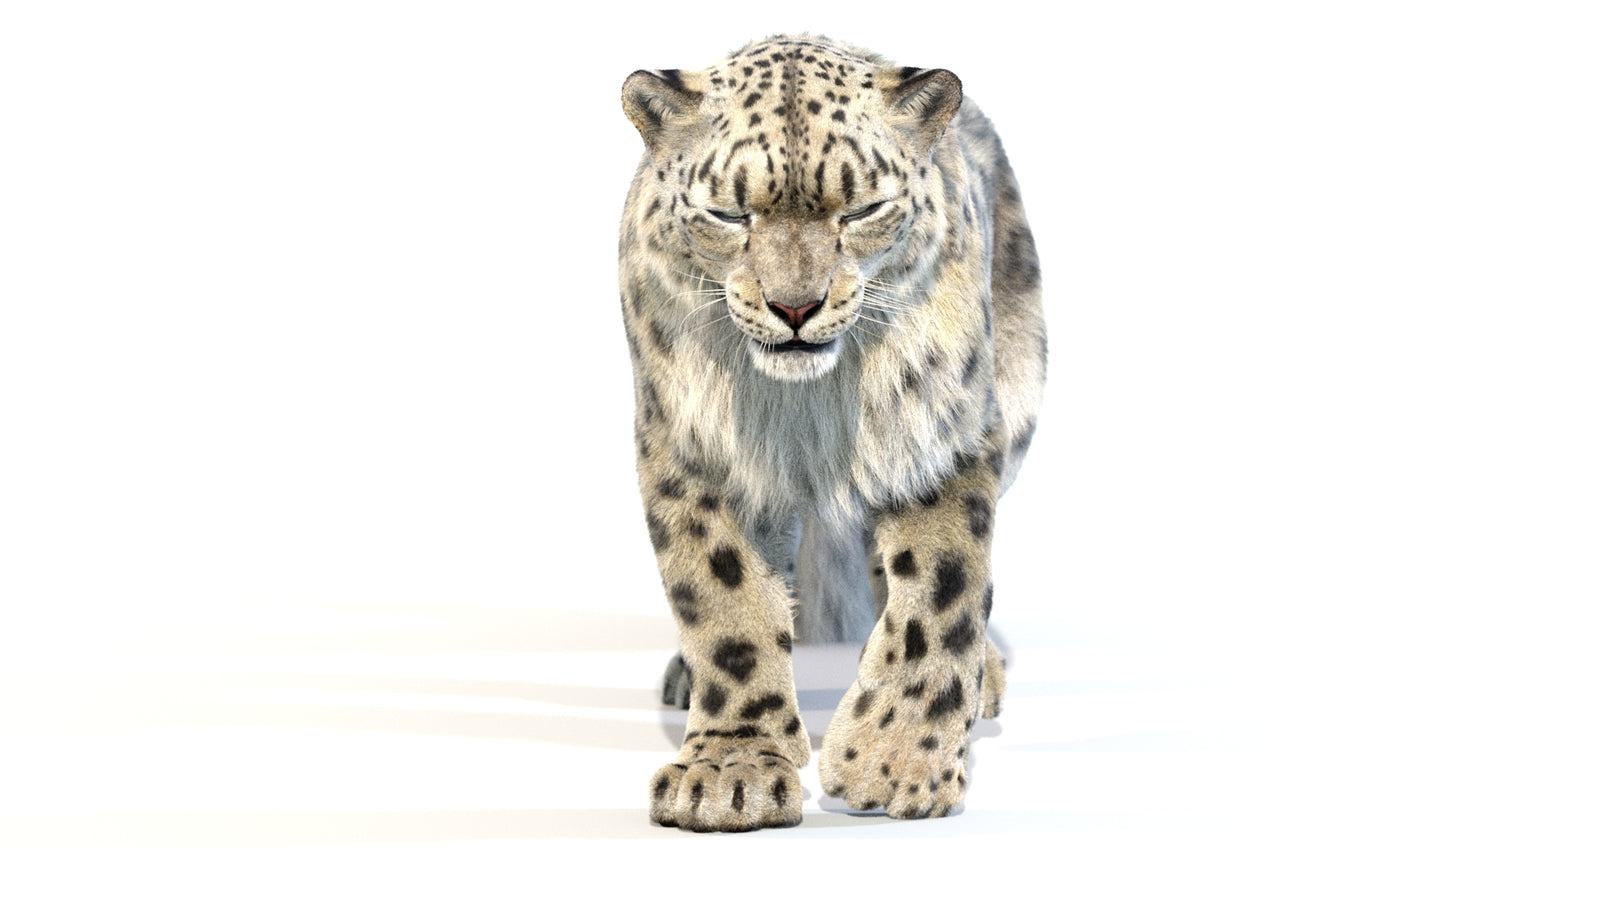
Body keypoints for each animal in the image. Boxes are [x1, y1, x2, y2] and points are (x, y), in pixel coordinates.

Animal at [618, 34, 1045, 832]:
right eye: (728, 213)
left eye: (864, 208)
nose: (795, 306)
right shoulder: (692, 445)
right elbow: (721, 599)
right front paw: (730, 772)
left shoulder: (934, 430)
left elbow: (941, 593)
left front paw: (895, 763)